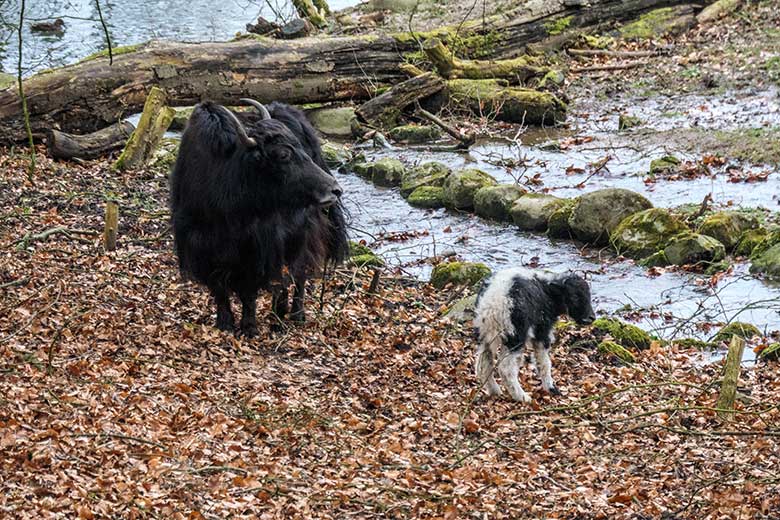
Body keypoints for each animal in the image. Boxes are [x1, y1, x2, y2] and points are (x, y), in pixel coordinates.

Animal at [472, 268, 596, 402]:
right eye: (574, 296)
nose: (591, 318)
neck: (548, 292)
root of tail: (493, 303)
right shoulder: (542, 331)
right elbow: (544, 362)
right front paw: (551, 388)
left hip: (485, 335)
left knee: (483, 364)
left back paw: (495, 391)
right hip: (515, 335)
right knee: (506, 369)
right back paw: (523, 397)